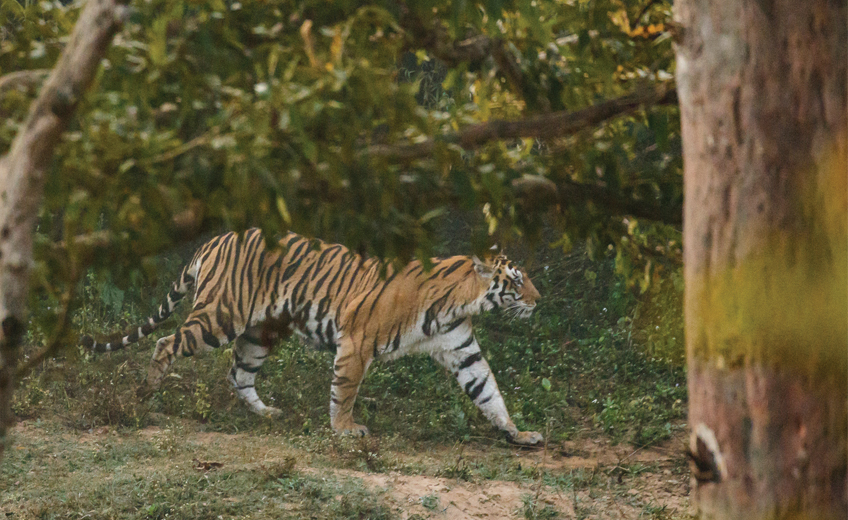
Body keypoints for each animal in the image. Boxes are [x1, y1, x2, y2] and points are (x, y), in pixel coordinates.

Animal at [81, 230, 544, 444]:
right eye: (517, 281)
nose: (539, 301)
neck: (460, 303)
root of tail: (214, 239)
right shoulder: (357, 342)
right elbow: (345, 390)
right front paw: (345, 429)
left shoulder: (462, 350)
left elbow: (489, 392)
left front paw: (519, 434)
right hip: (218, 317)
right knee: (166, 344)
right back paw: (144, 395)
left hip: (259, 333)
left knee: (239, 374)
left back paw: (266, 413)